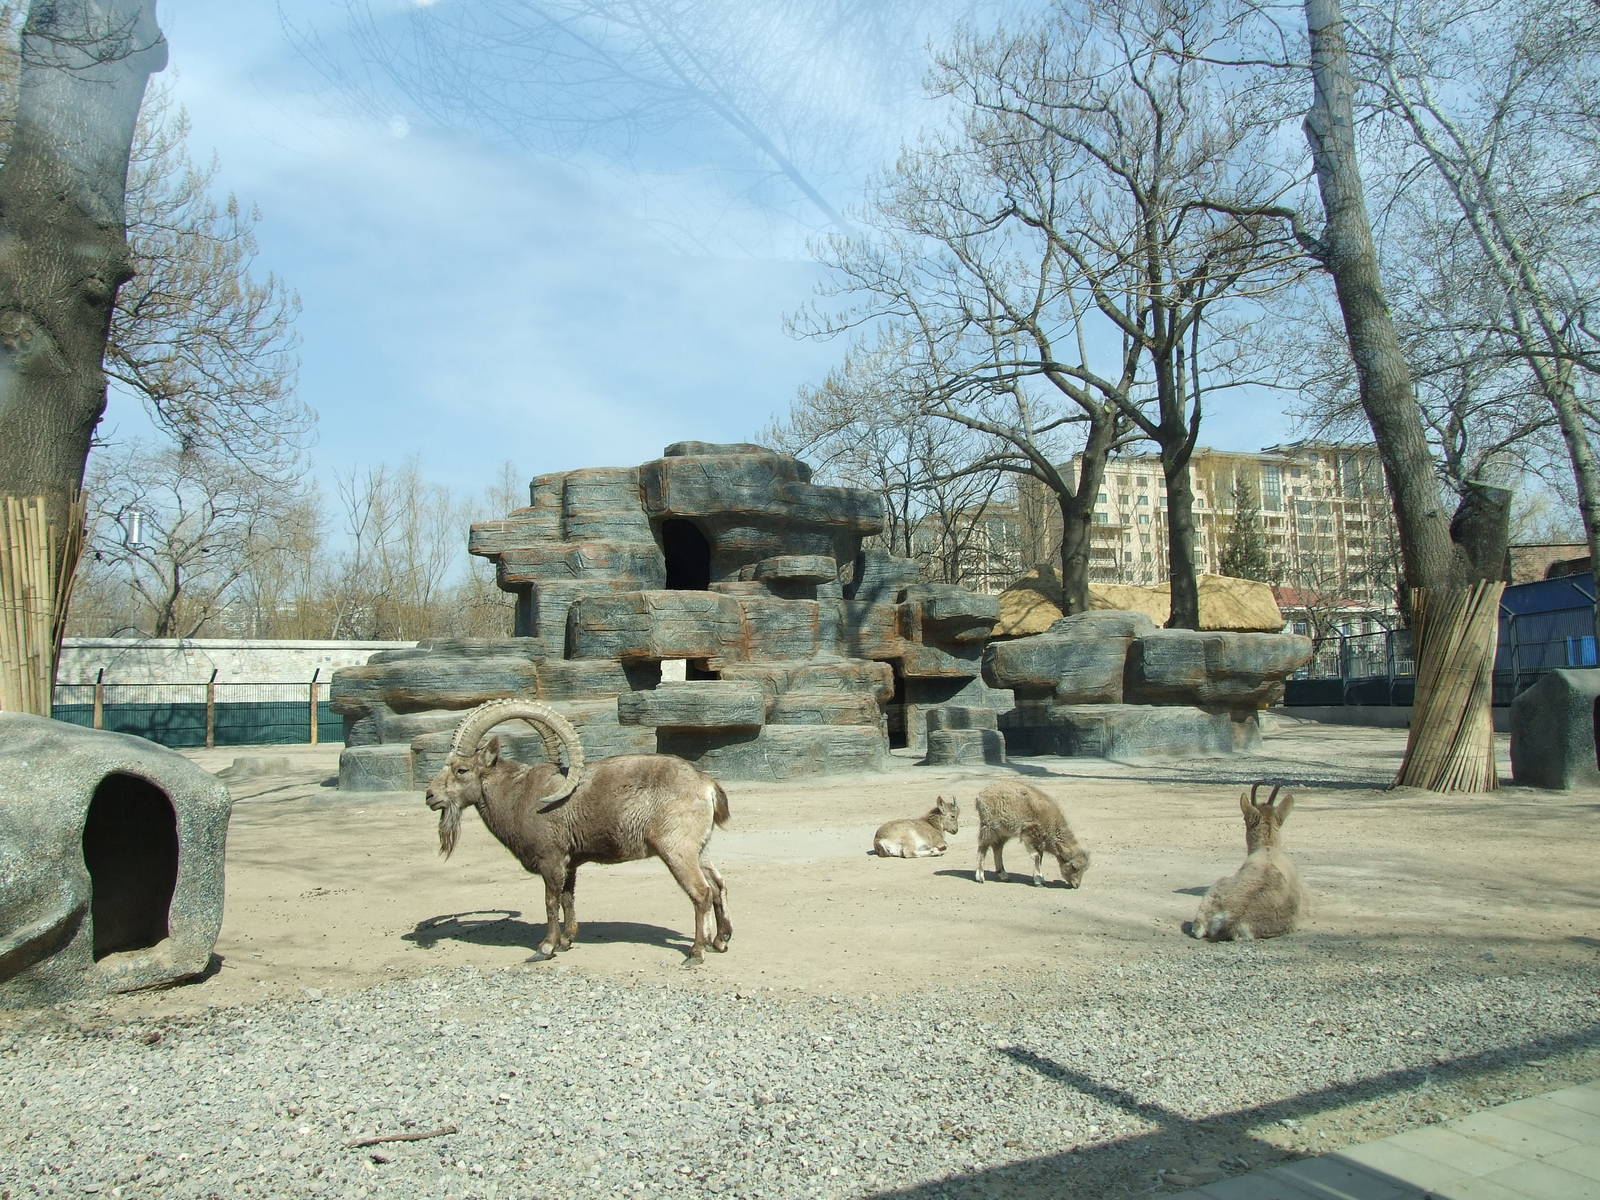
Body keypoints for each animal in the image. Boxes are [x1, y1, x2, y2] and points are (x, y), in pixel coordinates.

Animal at [423, 699, 732, 965]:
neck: (518, 796)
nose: (430, 796)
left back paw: (696, 953)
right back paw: (720, 940)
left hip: (677, 850)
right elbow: (567, 898)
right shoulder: (569, 863)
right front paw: (566, 941)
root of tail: (706, 785)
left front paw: (545, 947)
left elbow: (550, 901)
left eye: (461, 770)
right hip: (699, 849)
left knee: (701, 892)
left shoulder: (551, 860)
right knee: (717, 885)